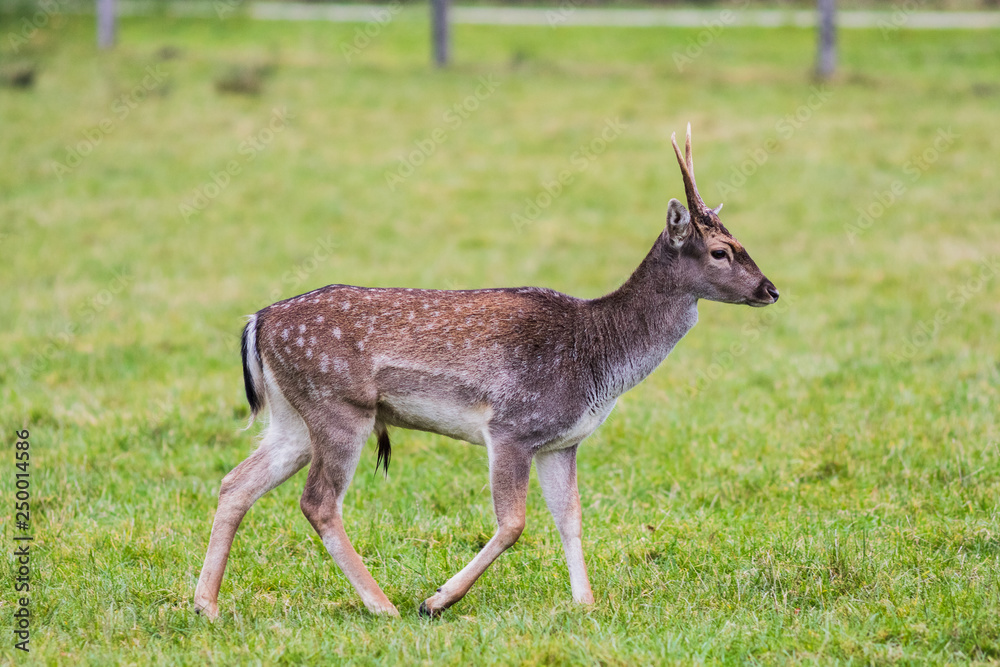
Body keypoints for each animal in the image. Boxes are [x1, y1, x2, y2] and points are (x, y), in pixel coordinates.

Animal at [194, 125, 779, 620]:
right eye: (721, 251)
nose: (770, 289)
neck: (599, 358)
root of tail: (258, 321)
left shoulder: (562, 441)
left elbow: (570, 518)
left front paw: (585, 603)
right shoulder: (512, 426)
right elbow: (514, 522)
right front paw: (437, 600)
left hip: (294, 417)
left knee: (236, 482)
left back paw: (207, 605)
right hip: (339, 406)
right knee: (317, 502)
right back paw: (383, 606)